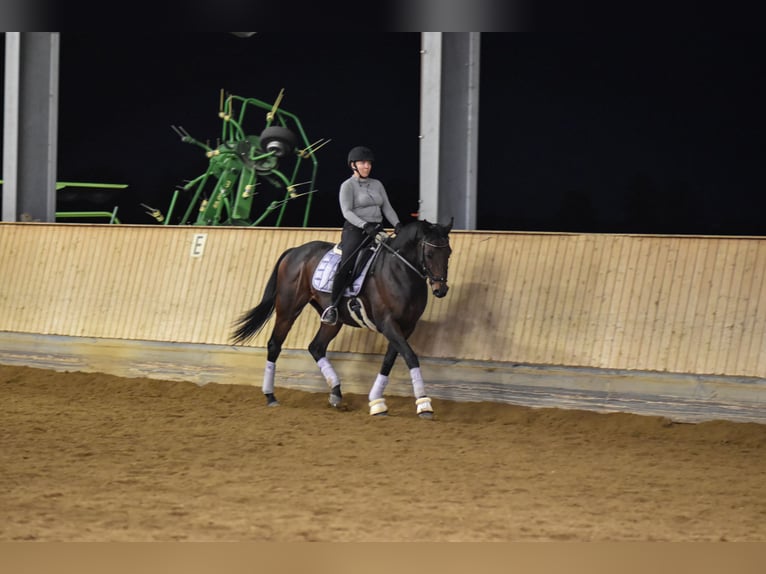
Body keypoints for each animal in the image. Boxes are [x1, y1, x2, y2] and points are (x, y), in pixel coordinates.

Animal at [231, 218, 453, 418]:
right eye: (430, 253)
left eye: (449, 253)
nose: (440, 290)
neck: (400, 270)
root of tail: (295, 251)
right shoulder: (388, 324)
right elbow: (410, 356)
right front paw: (424, 404)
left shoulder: (406, 327)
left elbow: (389, 360)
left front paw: (377, 402)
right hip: (288, 309)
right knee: (275, 345)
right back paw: (271, 396)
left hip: (333, 320)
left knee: (316, 347)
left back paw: (336, 394)